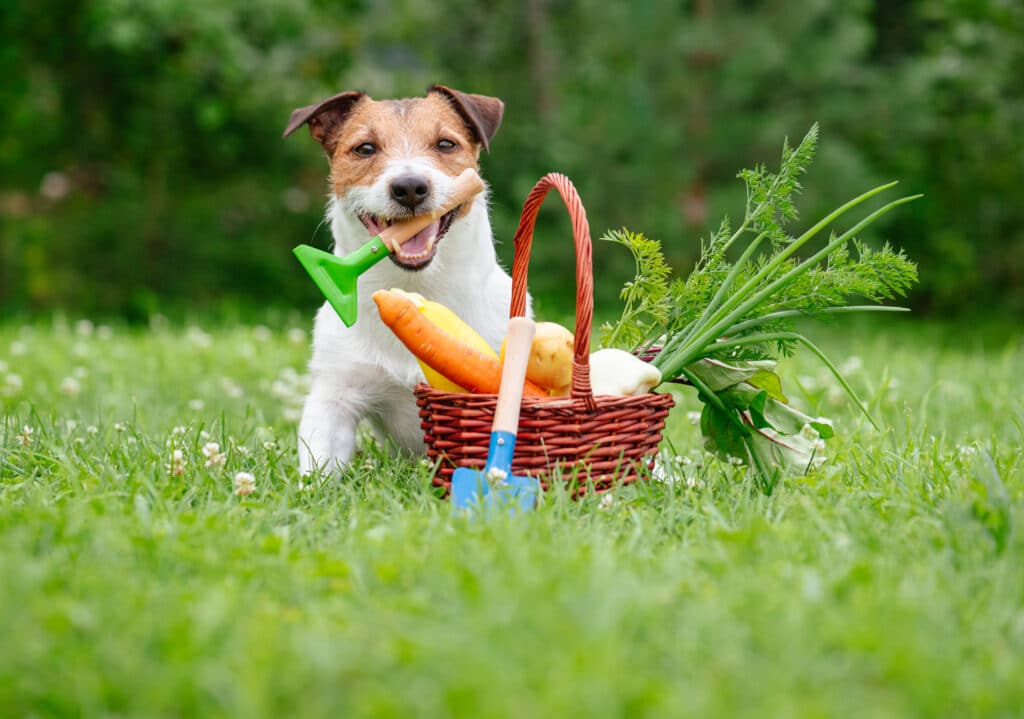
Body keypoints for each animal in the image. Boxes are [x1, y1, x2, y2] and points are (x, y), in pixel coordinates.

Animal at [280, 84, 524, 475]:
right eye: (365, 148)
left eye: (446, 144)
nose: (409, 187)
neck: (414, 290)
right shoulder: (333, 398)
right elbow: (318, 468)